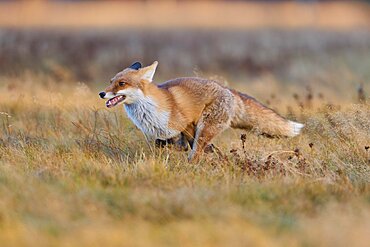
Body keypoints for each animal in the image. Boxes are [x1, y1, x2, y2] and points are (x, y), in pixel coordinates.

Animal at [99, 61, 304, 162]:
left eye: (121, 84)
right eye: (111, 81)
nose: (101, 93)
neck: (148, 112)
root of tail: (229, 90)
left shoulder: (188, 124)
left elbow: (189, 146)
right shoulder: (165, 133)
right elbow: (168, 144)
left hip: (205, 126)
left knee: (196, 150)